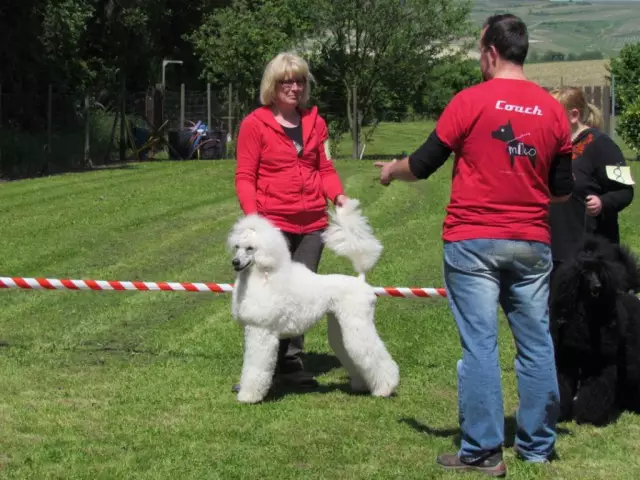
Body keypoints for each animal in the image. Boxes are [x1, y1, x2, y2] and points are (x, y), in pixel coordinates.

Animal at [548, 234, 640, 426]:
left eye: (600, 273)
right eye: (585, 273)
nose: (597, 286)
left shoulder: (601, 362)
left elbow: (597, 388)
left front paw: (588, 416)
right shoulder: (566, 358)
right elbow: (562, 382)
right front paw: (560, 413)